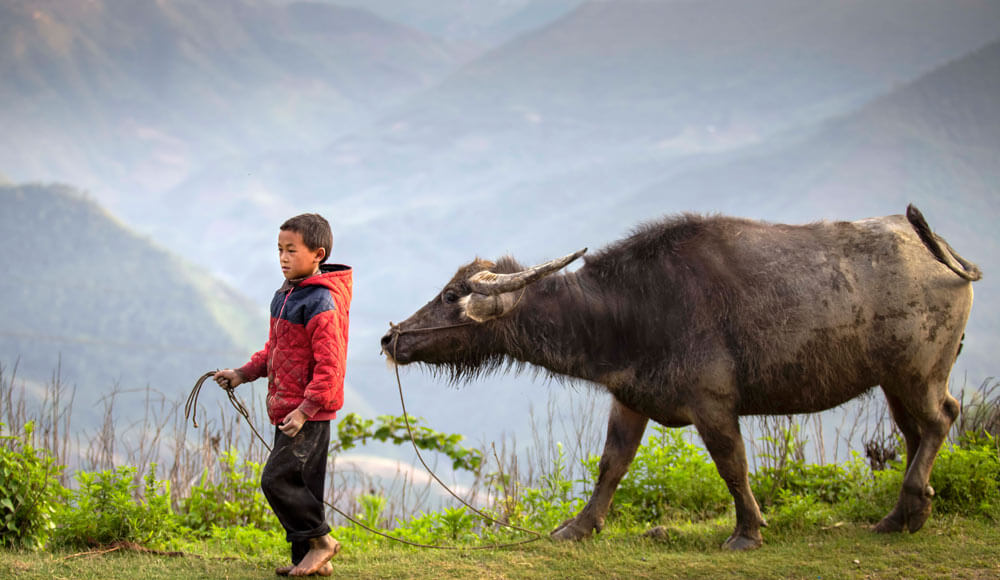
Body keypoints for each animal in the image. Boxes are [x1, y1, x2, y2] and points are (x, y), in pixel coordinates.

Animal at [380, 205, 980, 550]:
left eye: (452, 295)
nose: (391, 339)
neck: (631, 309)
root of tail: (937, 250)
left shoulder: (713, 405)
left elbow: (732, 465)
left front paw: (746, 532)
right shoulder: (629, 399)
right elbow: (611, 465)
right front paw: (577, 528)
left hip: (919, 371)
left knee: (940, 420)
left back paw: (909, 506)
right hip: (895, 380)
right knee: (916, 432)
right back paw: (902, 515)